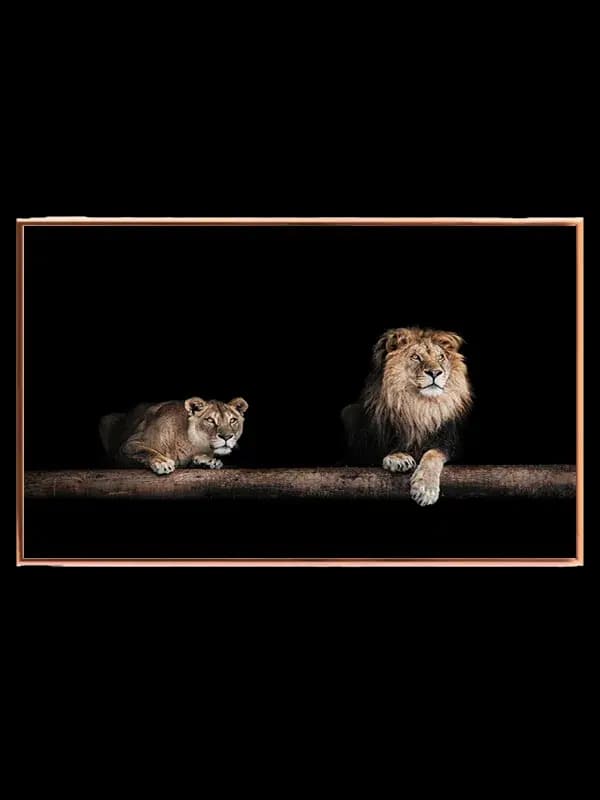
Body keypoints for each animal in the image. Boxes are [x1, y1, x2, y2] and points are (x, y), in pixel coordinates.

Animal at [99, 396, 248, 475]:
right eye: (210, 420)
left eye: (232, 420)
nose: (227, 437)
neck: (192, 444)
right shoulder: (128, 445)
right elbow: (145, 451)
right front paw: (162, 462)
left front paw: (207, 461)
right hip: (106, 420)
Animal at [341, 328, 472, 505]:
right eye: (415, 357)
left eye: (440, 357)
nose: (435, 372)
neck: (418, 406)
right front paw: (398, 458)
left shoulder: (449, 442)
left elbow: (433, 453)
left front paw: (426, 489)